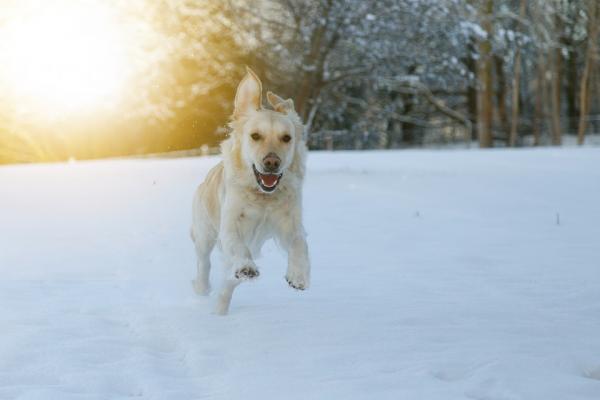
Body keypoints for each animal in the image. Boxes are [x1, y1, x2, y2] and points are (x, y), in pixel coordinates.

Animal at [191, 67, 312, 314]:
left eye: (287, 138)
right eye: (255, 136)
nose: (272, 162)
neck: (263, 196)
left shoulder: (290, 222)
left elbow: (299, 243)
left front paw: (298, 275)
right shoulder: (230, 224)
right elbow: (238, 247)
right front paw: (247, 267)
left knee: (228, 283)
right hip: (204, 234)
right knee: (204, 263)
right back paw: (203, 288)